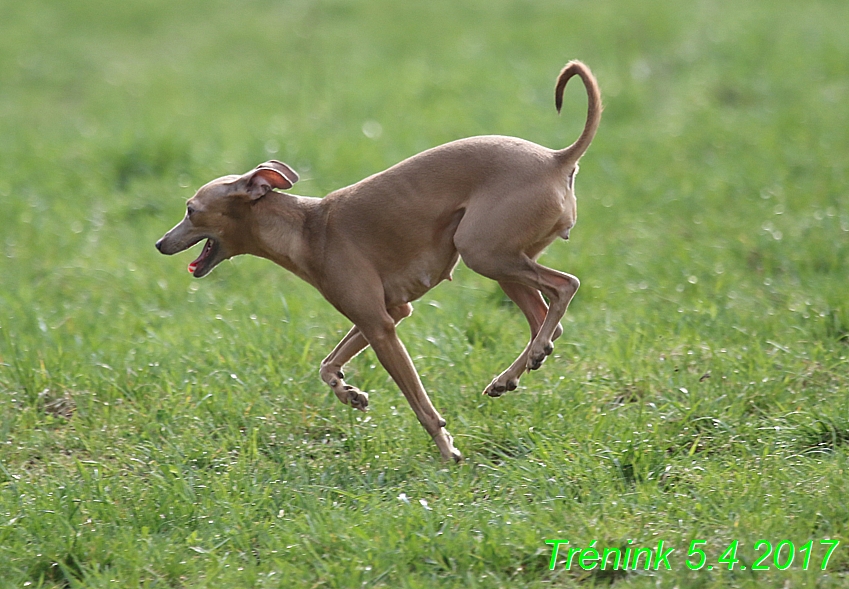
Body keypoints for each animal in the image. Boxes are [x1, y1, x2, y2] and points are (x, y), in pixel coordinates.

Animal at [156, 62, 600, 462]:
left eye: (191, 210)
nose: (160, 243)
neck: (306, 229)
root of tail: (557, 158)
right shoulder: (387, 314)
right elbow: (327, 364)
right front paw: (349, 394)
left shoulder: (381, 326)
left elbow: (421, 407)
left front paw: (447, 451)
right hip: (501, 258)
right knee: (545, 320)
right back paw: (511, 375)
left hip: (483, 251)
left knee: (565, 286)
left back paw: (527, 358)